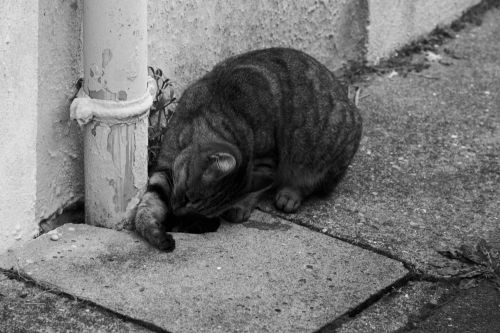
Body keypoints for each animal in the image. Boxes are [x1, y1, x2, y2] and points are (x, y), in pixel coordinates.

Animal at [135, 46, 362, 249]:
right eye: (187, 197)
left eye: (198, 208)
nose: (176, 212)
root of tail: (348, 99)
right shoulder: (164, 169)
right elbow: (147, 206)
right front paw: (156, 233)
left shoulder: (267, 158)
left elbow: (256, 187)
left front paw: (242, 206)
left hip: (324, 149)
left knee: (310, 182)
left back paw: (289, 195)